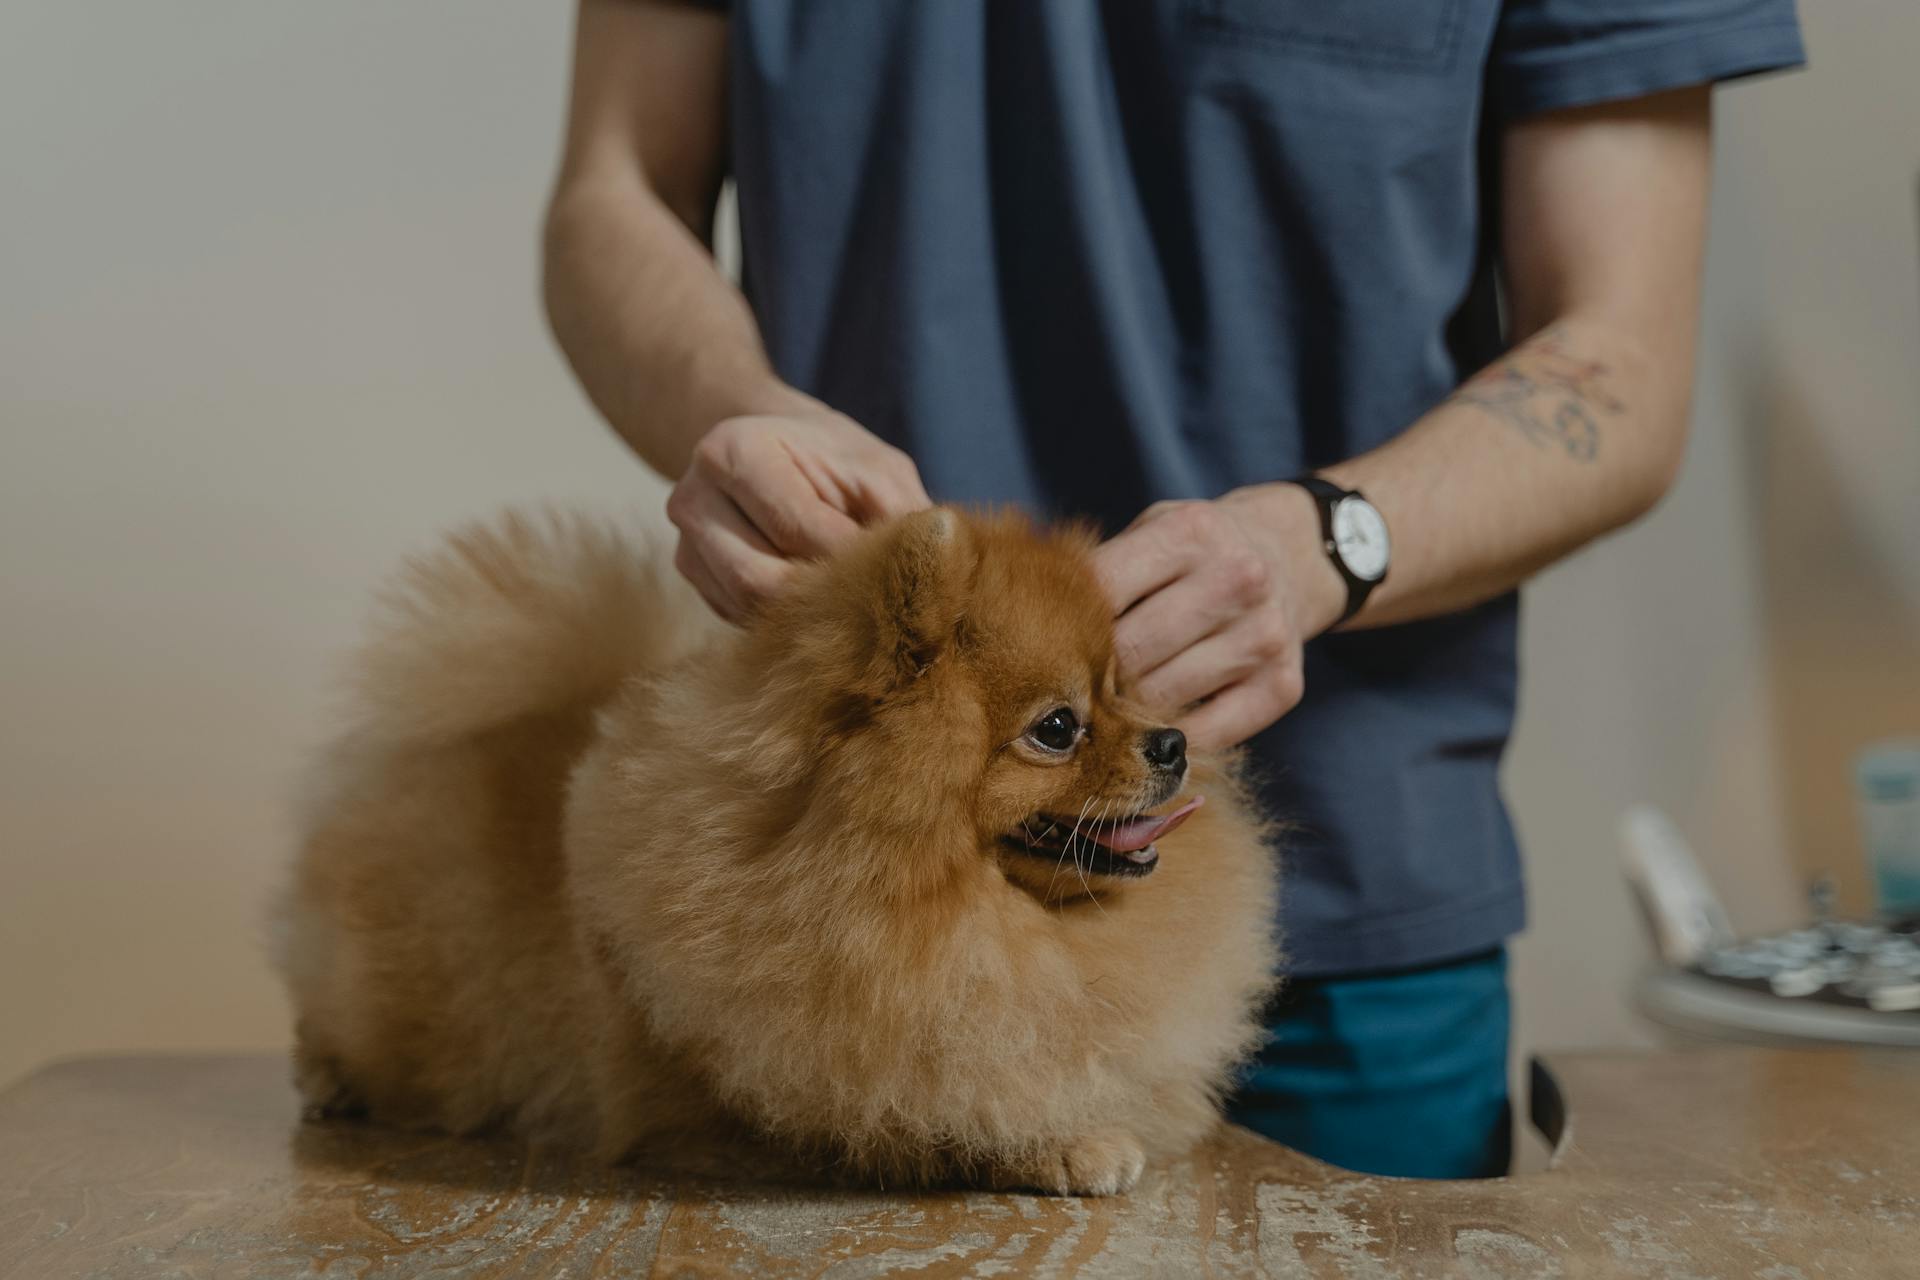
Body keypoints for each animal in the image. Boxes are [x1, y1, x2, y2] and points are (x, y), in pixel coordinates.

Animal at [280, 506, 1274, 1197]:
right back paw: (327, 1079)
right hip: (406, 1011)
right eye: (1059, 727)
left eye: (1124, 690)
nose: (1174, 742)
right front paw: (1062, 1143)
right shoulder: (756, 1097)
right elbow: (913, 1116)